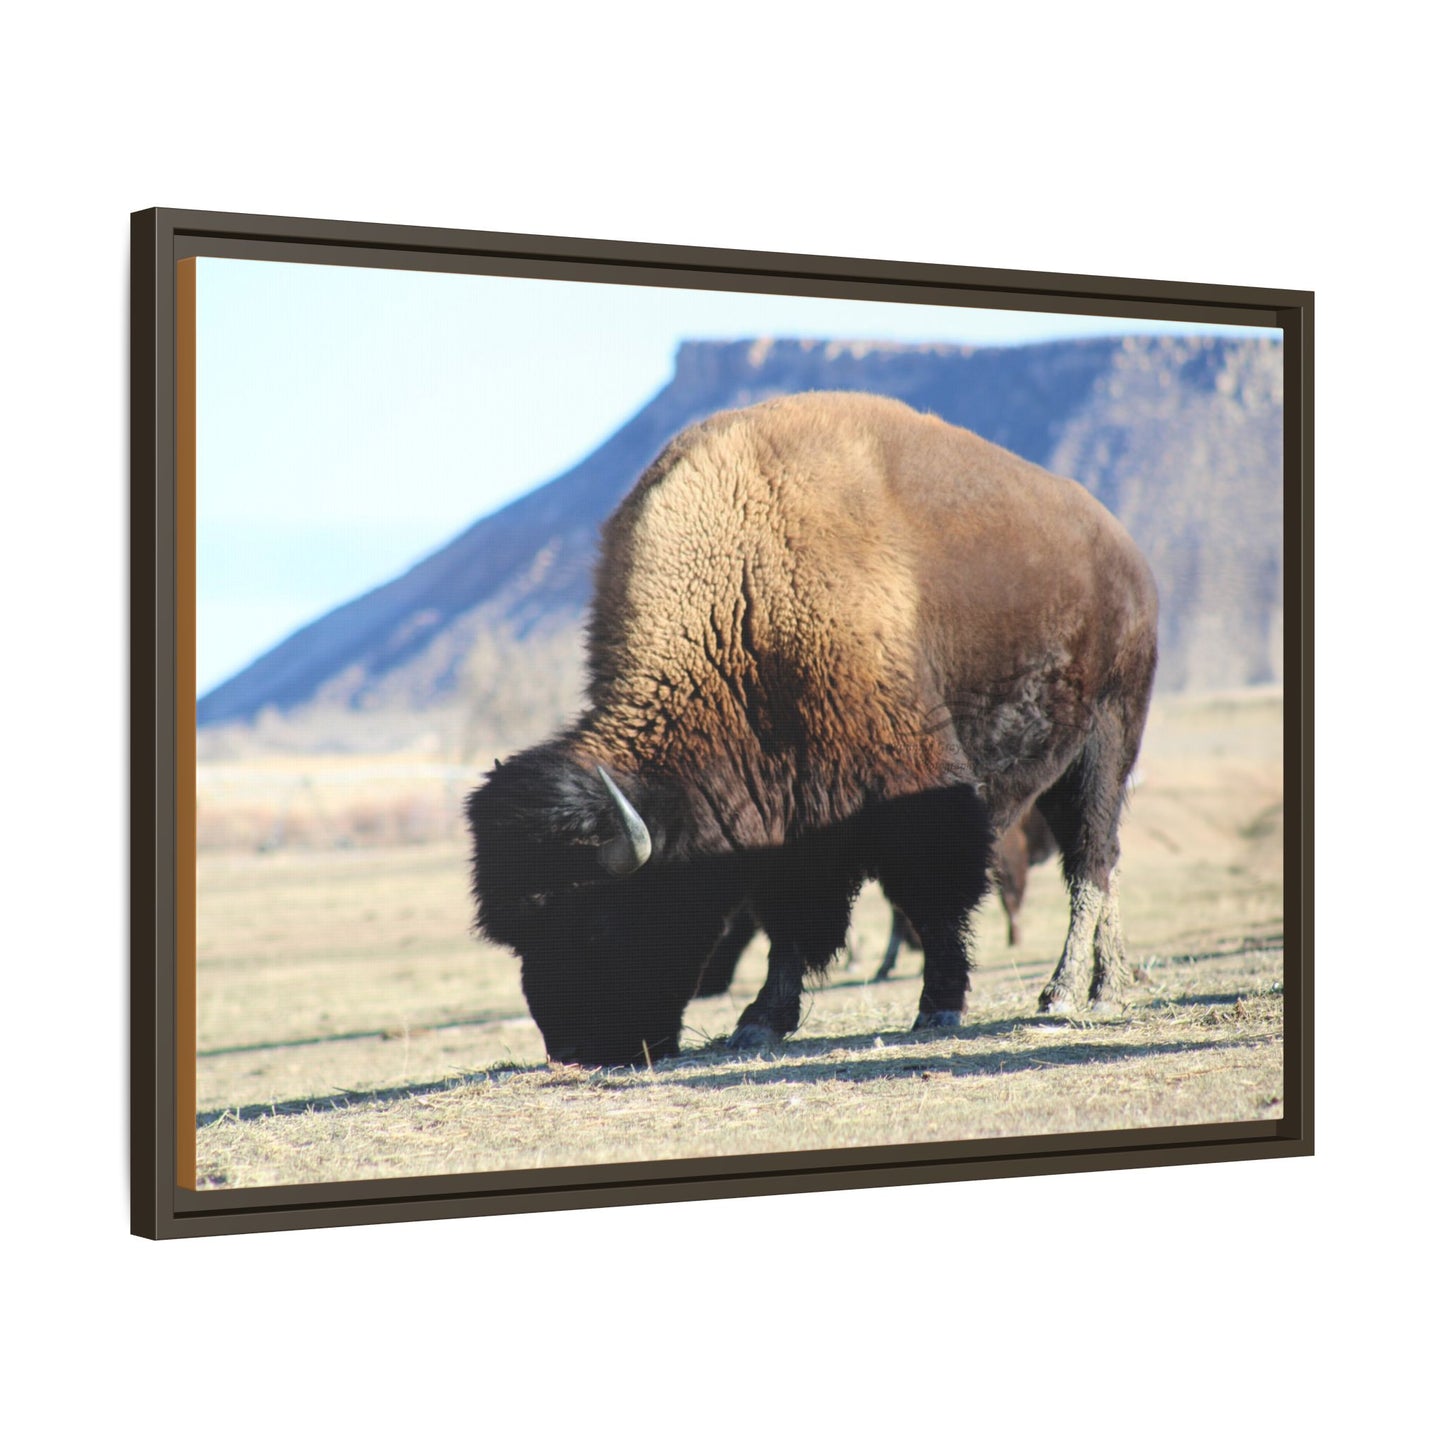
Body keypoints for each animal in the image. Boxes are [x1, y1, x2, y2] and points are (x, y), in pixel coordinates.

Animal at [467, 392, 1158, 1066]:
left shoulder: (913, 786)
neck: (743, 599)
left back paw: (1071, 992)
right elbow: (789, 922)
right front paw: (760, 1022)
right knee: (1103, 862)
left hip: (1105, 744)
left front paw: (938, 1006)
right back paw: (1108, 983)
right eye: (518, 935)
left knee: (1090, 862)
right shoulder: (785, 816)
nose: (574, 1051)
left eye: (594, 919)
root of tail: (1126, 554)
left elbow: (932, 897)